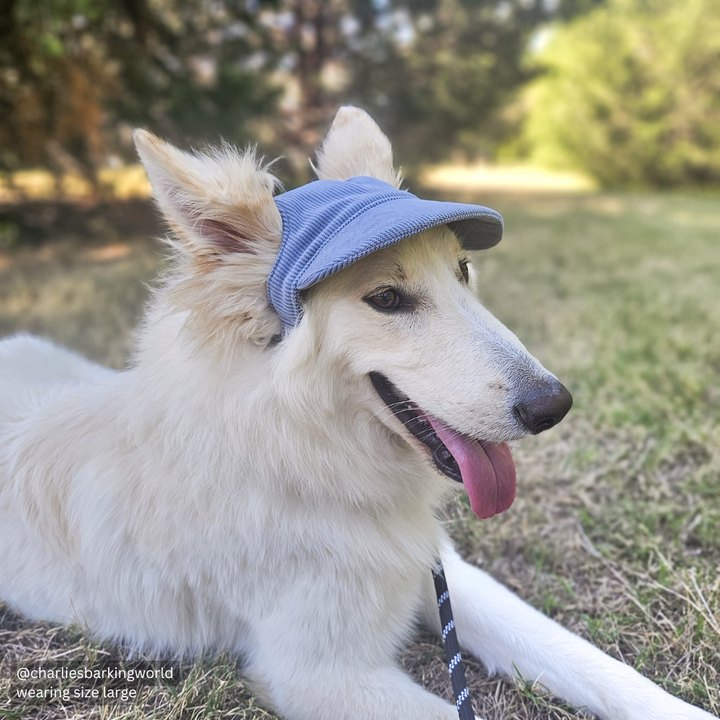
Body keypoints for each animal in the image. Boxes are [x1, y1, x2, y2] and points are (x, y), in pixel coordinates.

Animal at [0, 108, 716, 720]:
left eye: (463, 271)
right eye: (387, 299)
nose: (555, 406)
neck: (301, 456)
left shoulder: (445, 576)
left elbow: (592, 663)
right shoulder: (324, 674)